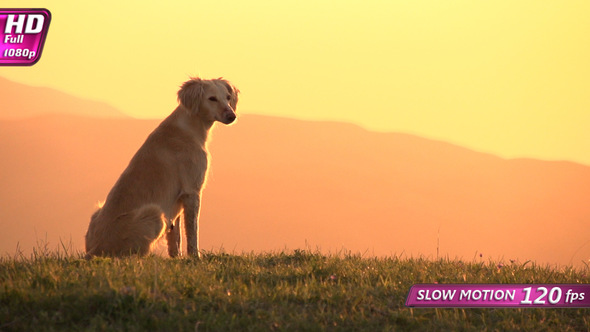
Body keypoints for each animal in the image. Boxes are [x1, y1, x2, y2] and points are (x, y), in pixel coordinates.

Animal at [84, 78, 240, 260]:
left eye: (228, 97)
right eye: (212, 98)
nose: (232, 116)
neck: (189, 127)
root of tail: (94, 249)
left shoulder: (177, 200)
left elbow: (175, 236)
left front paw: (177, 258)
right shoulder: (192, 191)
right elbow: (192, 231)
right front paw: (195, 256)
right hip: (154, 214)